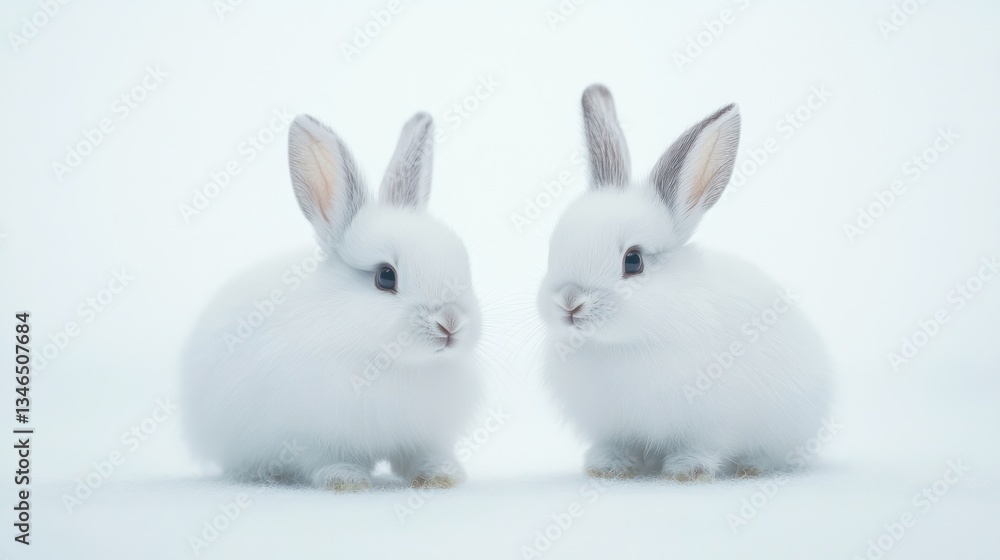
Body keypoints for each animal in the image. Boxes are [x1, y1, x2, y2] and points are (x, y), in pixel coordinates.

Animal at [182, 112, 483, 491]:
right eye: (386, 277)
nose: (450, 323)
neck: (390, 364)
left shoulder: (424, 435)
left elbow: (422, 454)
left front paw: (442, 475)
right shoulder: (309, 436)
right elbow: (325, 458)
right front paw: (346, 480)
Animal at [537, 84, 831, 482]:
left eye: (633, 261)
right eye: (554, 249)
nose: (569, 302)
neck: (623, 344)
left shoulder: (714, 422)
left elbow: (704, 445)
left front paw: (686, 471)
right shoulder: (613, 427)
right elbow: (618, 445)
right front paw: (607, 467)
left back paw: (753, 467)